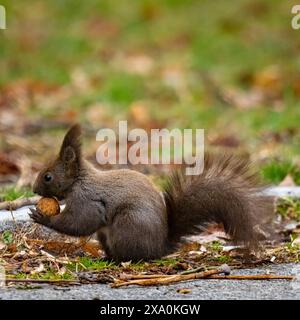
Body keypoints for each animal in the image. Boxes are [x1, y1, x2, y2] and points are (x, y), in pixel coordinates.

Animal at [29, 124, 272, 262]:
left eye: (48, 176)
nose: (33, 189)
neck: (78, 181)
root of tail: (160, 247)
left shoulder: (87, 200)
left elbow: (78, 223)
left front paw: (42, 217)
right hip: (106, 235)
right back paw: (105, 258)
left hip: (128, 225)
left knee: (133, 256)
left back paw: (115, 260)